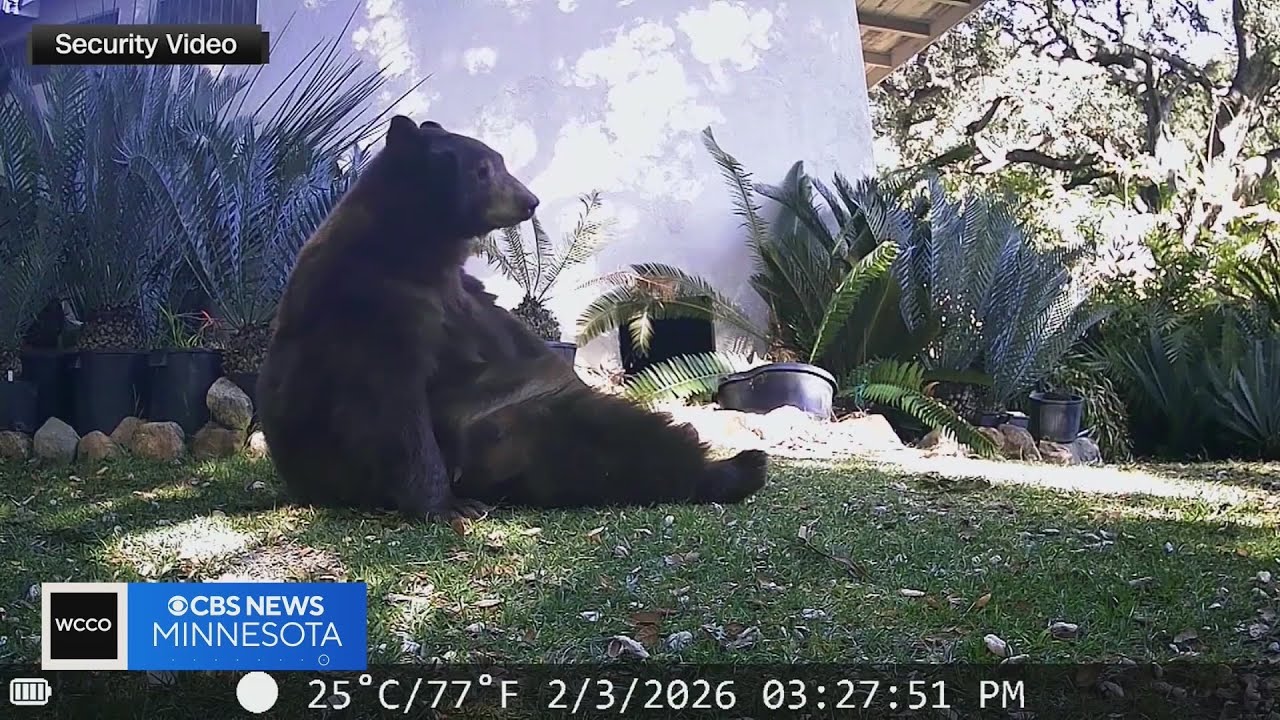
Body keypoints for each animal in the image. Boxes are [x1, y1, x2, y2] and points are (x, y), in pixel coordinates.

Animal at [256, 115, 540, 522]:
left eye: (500, 162)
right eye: (483, 170)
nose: (530, 201)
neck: (413, 253)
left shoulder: (457, 294)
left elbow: (501, 335)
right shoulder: (375, 308)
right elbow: (393, 408)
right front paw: (451, 505)